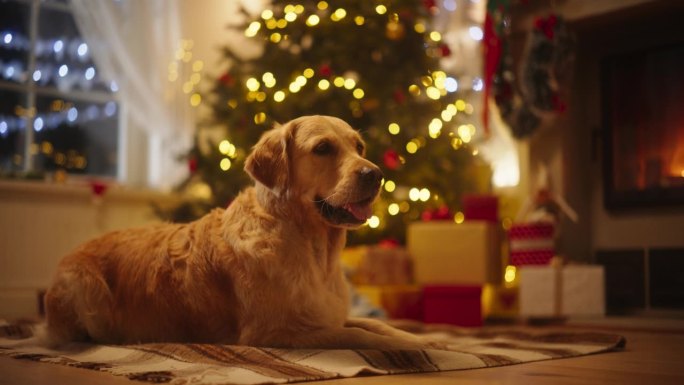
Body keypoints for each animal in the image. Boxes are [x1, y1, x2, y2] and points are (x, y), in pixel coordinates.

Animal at [42, 114, 438, 348]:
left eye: (359, 146)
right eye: (323, 148)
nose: (376, 174)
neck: (314, 249)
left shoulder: (328, 313)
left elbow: (377, 326)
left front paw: (431, 340)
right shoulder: (274, 332)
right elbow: (358, 335)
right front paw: (416, 348)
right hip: (87, 290)